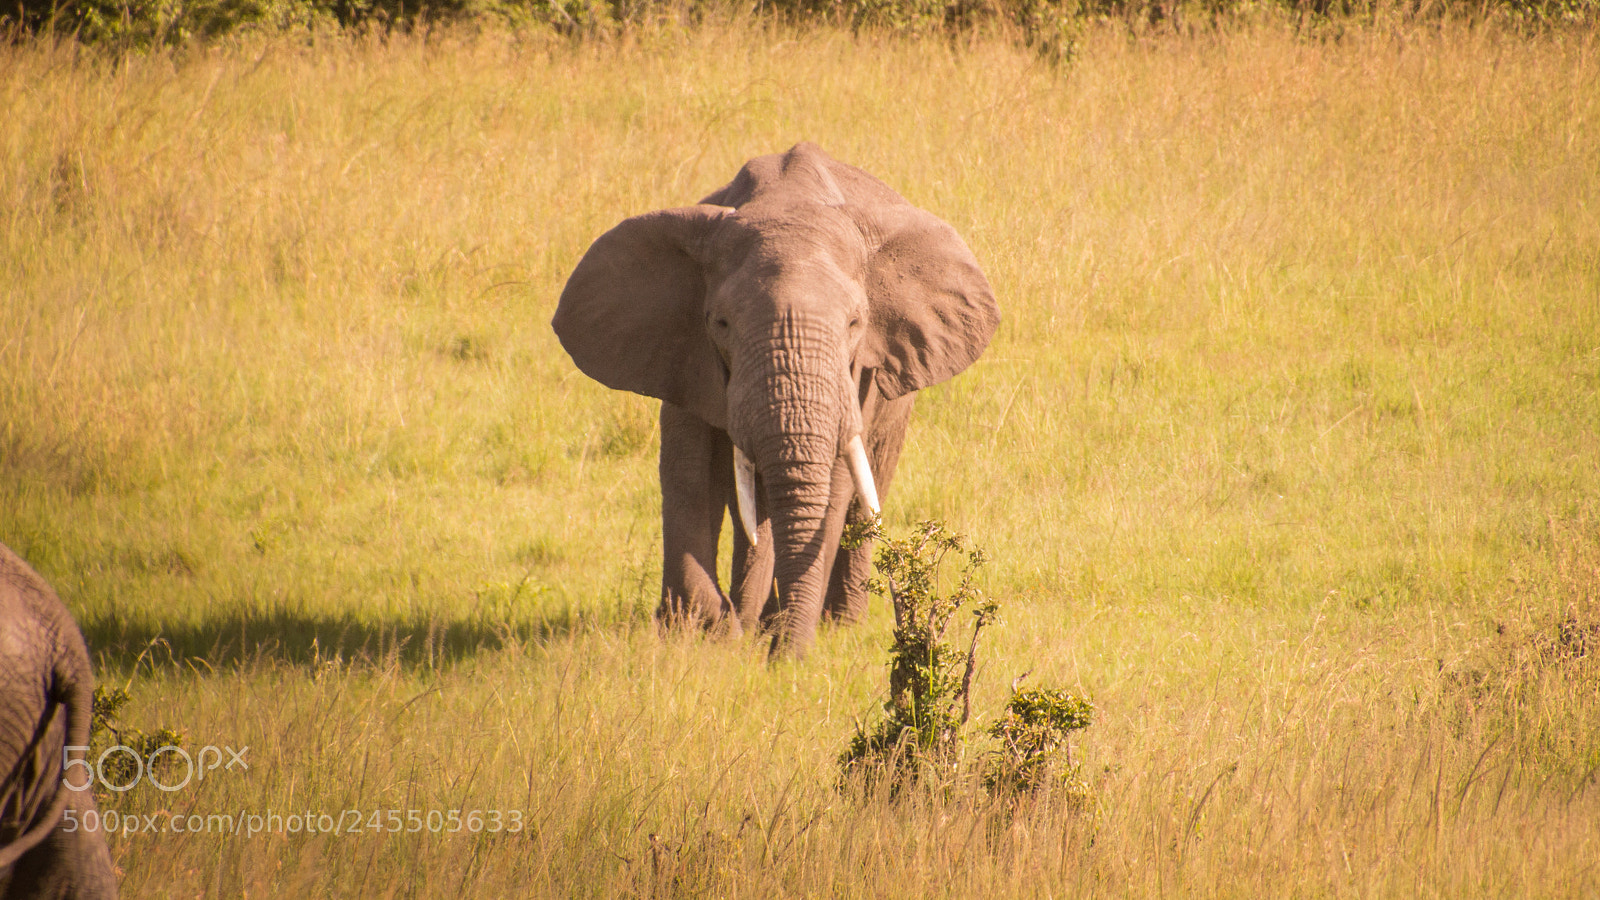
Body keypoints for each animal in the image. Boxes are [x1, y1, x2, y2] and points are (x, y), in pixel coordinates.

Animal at [553, 142, 1000, 658]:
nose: (784, 657)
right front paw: (701, 629)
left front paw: (761, 636)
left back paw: (829, 623)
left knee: (866, 484)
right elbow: (688, 470)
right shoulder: (681, 348)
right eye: (721, 323)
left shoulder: (858, 375)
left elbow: (835, 481)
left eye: (855, 324)